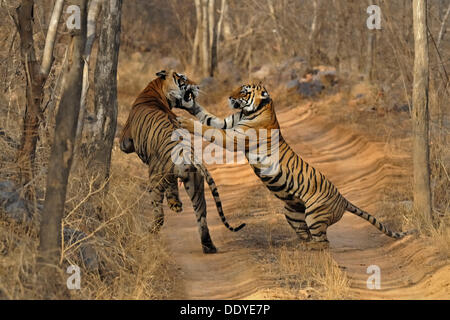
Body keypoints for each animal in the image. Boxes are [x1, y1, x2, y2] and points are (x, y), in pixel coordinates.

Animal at [118, 69, 246, 252]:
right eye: (183, 78)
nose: (198, 86)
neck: (155, 89)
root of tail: (187, 153)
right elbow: (173, 187)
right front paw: (175, 203)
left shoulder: (126, 140)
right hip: (195, 184)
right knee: (201, 216)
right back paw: (208, 245)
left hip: (155, 179)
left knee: (159, 214)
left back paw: (149, 232)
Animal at [177, 83, 414, 248]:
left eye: (244, 92)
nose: (229, 96)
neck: (254, 110)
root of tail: (343, 199)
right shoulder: (228, 122)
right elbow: (206, 116)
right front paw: (186, 104)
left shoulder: (235, 137)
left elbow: (209, 129)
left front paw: (184, 121)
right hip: (292, 213)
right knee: (306, 236)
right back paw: (302, 250)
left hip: (315, 216)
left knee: (323, 243)